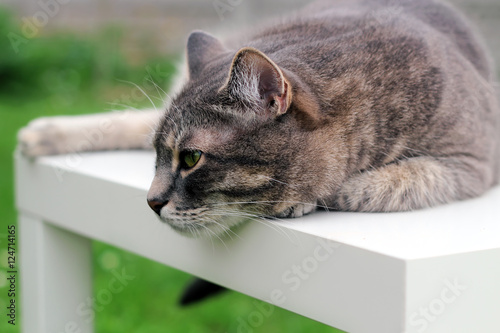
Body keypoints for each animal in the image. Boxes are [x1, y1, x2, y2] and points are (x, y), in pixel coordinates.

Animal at [19, 0, 500, 236]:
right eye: (160, 156)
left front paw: (316, 193)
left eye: (191, 159)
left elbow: (376, 185)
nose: (151, 202)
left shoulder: (471, 163)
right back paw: (41, 133)